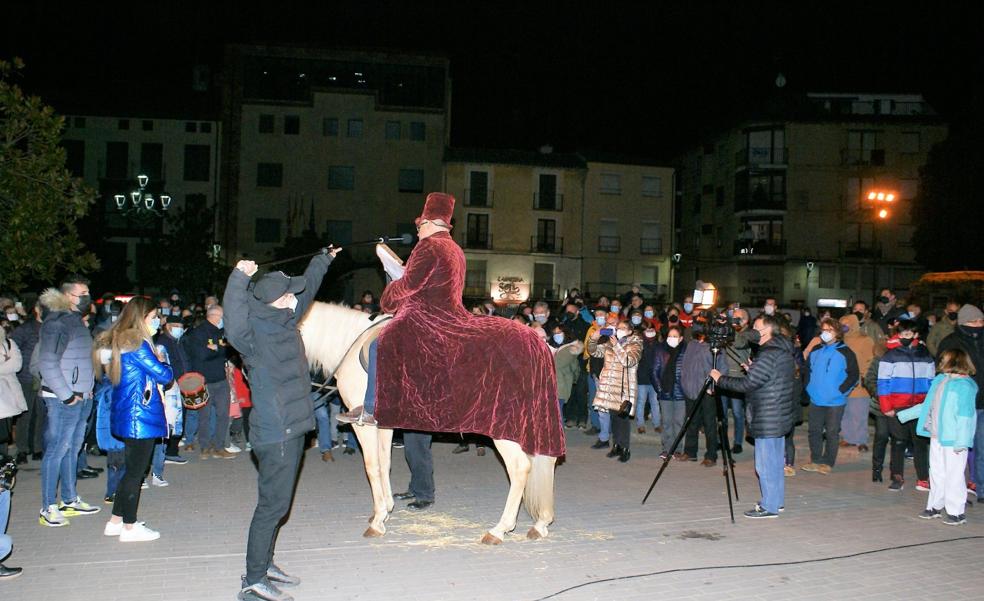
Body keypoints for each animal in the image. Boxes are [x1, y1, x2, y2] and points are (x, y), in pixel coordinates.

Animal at [300, 302, 556, 540]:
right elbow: (384, 463)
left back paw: (499, 530)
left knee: (520, 467)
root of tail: (536, 343)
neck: (351, 343)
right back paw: (541, 523)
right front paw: (385, 509)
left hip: (504, 428)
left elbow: (372, 467)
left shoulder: (363, 425)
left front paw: (378, 520)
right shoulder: (383, 425)